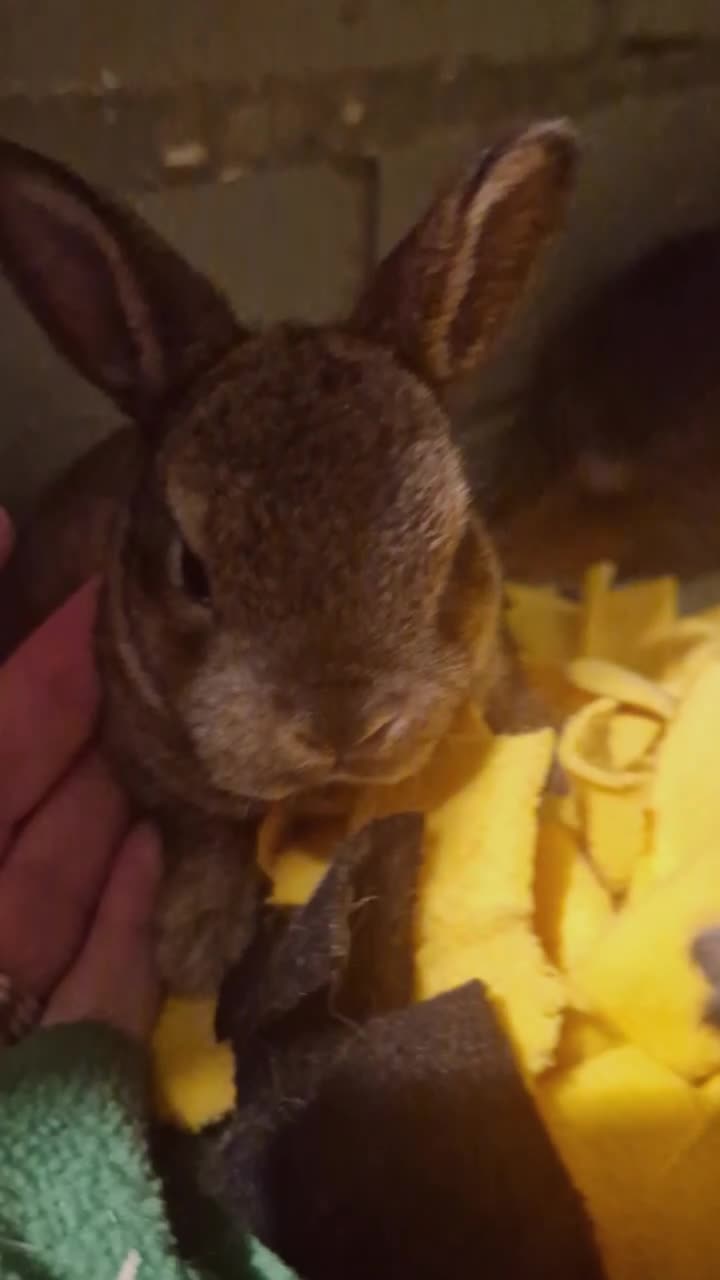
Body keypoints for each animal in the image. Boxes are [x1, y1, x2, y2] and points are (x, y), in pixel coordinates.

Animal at [0, 120, 577, 994]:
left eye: (453, 542)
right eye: (190, 572)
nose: (345, 725)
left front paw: (551, 768)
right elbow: (206, 829)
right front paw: (197, 946)